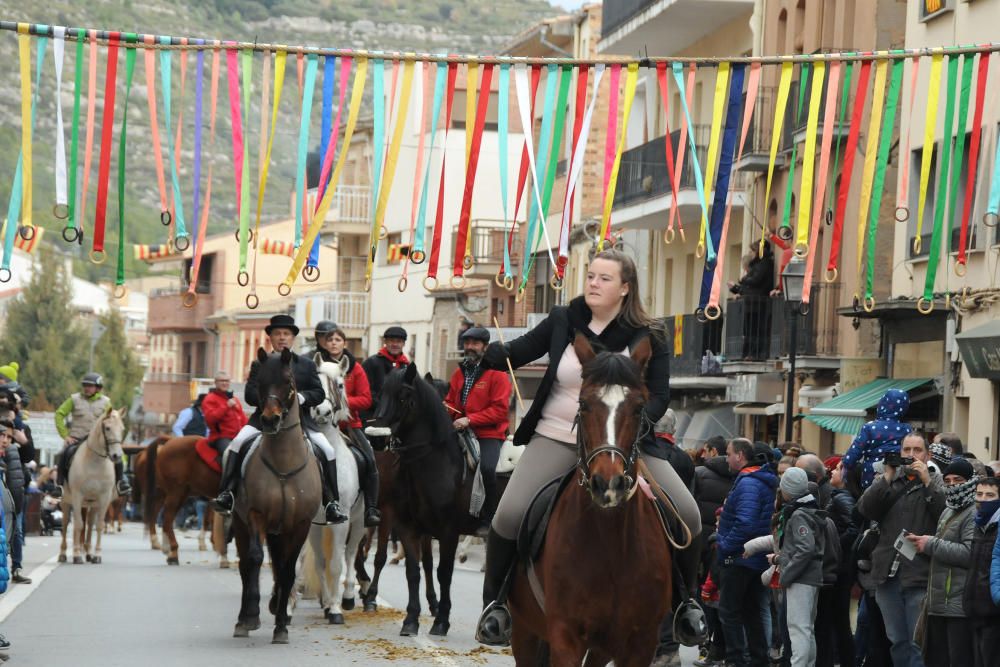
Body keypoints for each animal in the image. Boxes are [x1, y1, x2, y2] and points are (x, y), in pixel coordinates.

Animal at [59, 408, 126, 564]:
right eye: (107, 428)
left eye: (122, 429)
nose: (117, 456)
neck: (95, 463)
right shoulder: (77, 496)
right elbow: (78, 525)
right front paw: (77, 555)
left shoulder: (104, 498)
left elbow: (99, 525)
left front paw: (97, 555)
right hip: (66, 502)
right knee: (65, 524)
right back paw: (64, 553)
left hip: (93, 503)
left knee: (89, 524)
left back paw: (88, 552)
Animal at [232, 350, 322, 648]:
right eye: (259, 381)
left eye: (288, 381)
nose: (270, 421)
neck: (284, 462)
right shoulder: (255, 516)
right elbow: (255, 559)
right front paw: (251, 615)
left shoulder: (300, 524)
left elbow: (287, 570)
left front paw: (281, 625)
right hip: (241, 523)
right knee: (246, 565)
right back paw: (243, 619)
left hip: (280, 530)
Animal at [292, 358, 368, 624]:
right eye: (316, 380)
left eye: (341, 384)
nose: (322, 412)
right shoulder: (309, 522)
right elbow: (318, 563)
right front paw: (326, 604)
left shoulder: (341, 520)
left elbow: (336, 563)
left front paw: (335, 609)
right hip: (318, 525)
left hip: (359, 521)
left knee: (351, 554)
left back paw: (347, 597)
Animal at [370, 362, 478, 636]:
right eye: (380, 395)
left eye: (403, 397)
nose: (376, 436)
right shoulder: (409, 526)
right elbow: (414, 571)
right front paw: (411, 619)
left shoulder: (448, 531)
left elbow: (442, 572)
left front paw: (441, 618)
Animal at [508, 336, 672, 664]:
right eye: (583, 404)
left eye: (639, 407)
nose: (607, 484)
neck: (612, 544)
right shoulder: (566, 636)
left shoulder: (640, 643)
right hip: (524, 631)